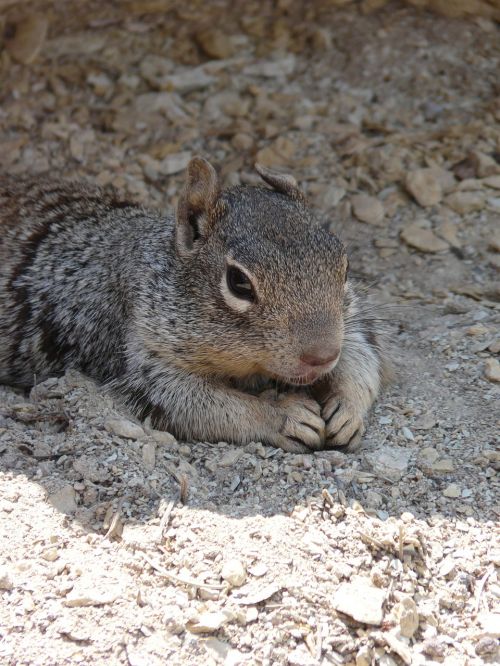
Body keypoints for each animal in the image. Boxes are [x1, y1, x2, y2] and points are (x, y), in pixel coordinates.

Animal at [0, 157, 386, 452]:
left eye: (344, 265)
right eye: (238, 282)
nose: (321, 355)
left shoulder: (350, 322)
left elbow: (360, 355)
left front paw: (347, 409)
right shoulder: (144, 356)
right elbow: (202, 405)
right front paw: (284, 416)